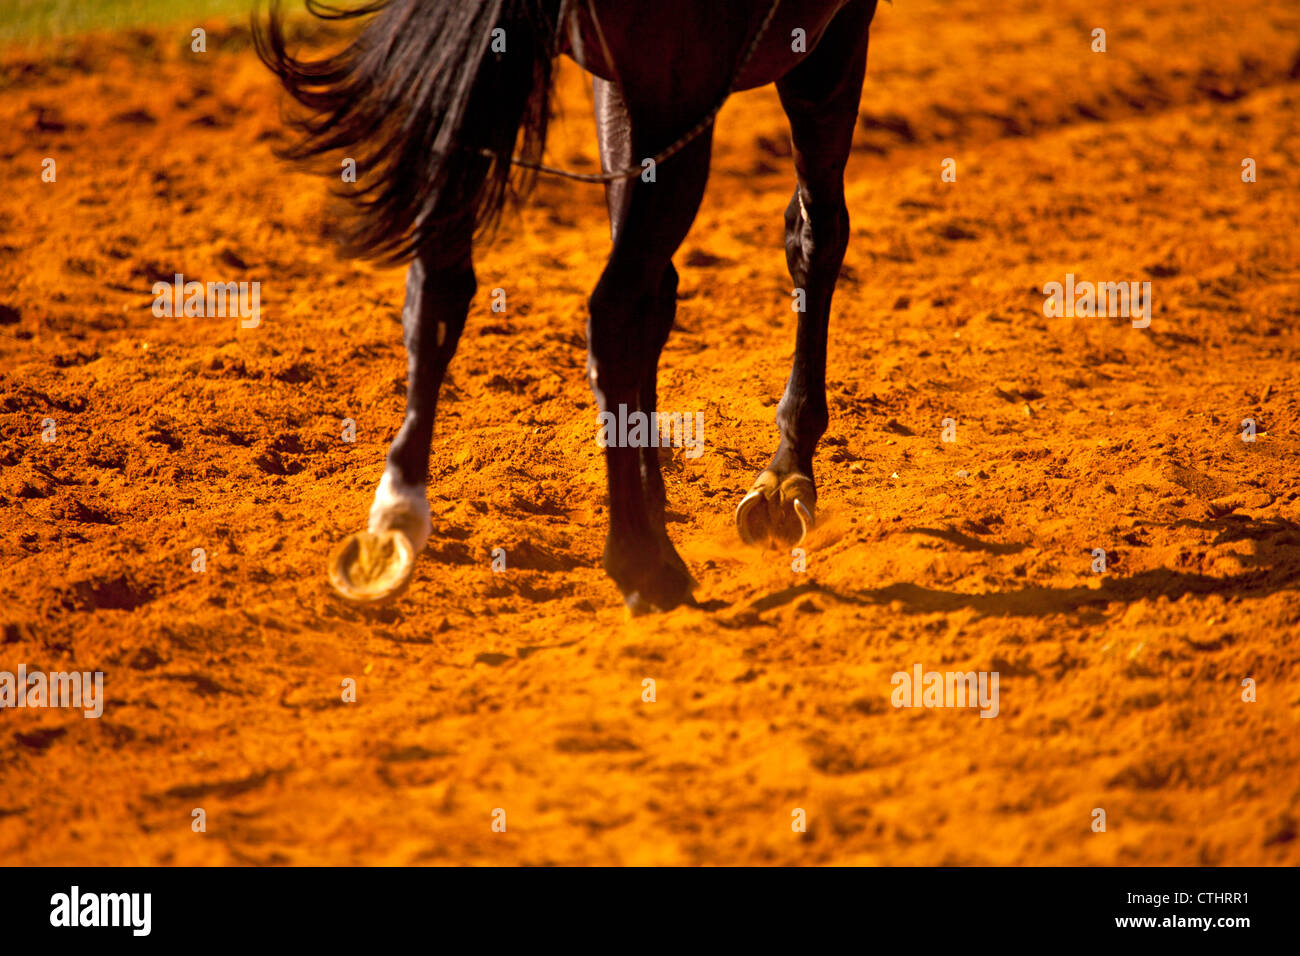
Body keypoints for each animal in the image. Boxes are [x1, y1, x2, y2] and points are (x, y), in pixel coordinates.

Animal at [255, 0, 879, 614]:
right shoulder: (829, 37)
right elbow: (814, 236)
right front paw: (785, 477)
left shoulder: (615, 86)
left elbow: (661, 295)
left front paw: (660, 491)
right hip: (683, 91)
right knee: (613, 312)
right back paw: (644, 563)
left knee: (438, 290)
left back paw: (393, 524)